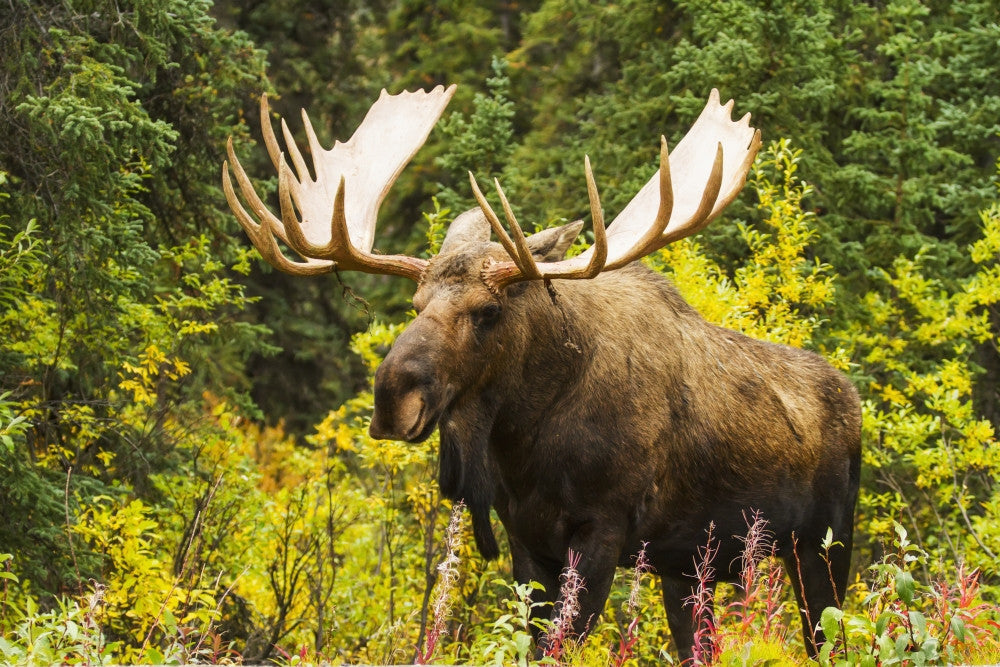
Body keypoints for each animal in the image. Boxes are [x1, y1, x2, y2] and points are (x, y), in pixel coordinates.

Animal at [222, 83, 862, 660]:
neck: (524, 440)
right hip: (688, 567)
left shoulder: (602, 530)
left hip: (823, 546)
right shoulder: (525, 536)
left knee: (828, 638)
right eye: (416, 303)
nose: (391, 399)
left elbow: (562, 644)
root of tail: (854, 400)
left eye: (488, 312)